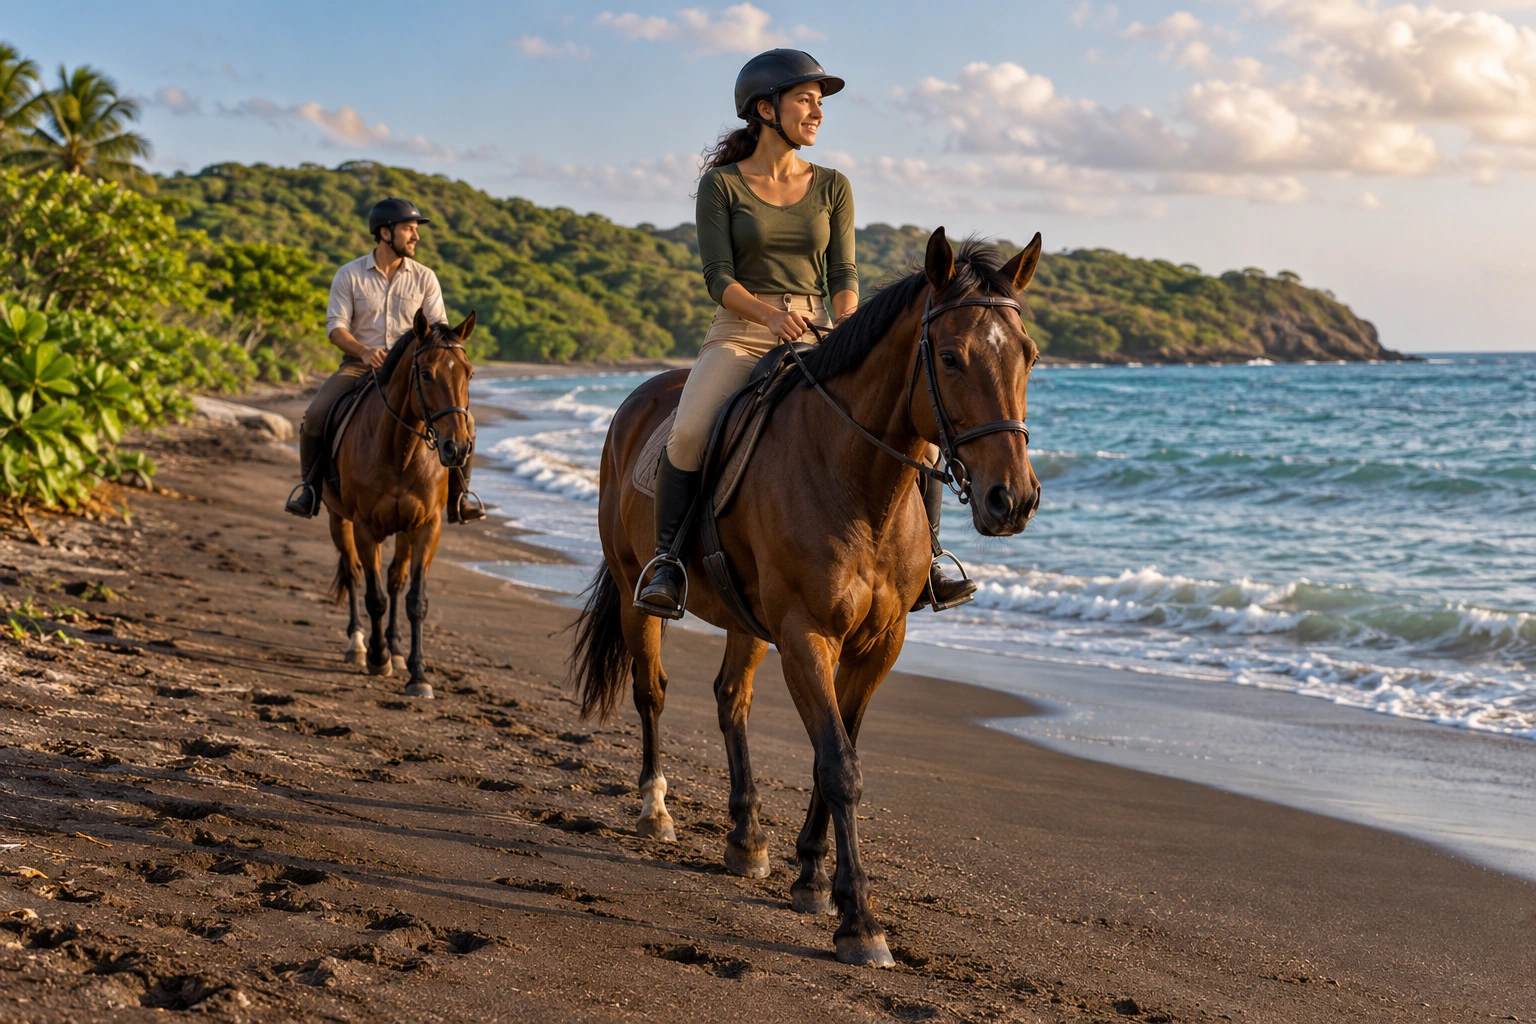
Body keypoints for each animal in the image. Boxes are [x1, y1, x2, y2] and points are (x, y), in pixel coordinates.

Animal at [325, 309, 476, 700]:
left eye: (469, 373)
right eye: (426, 374)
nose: (457, 449)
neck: (400, 450)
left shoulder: (426, 527)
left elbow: (414, 600)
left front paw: (417, 673)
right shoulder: (364, 527)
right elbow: (374, 596)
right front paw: (378, 659)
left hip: (404, 531)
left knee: (396, 579)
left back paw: (394, 647)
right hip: (338, 520)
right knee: (352, 573)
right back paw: (359, 645)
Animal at [571, 228, 1042, 966]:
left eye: (1028, 356)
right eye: (950, 356)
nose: (1012, 500)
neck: (855, 480)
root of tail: (639, 397)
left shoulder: (879, 644)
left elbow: (836, 749)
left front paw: (814, 877)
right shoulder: (805, 634)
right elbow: (839, 765)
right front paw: (860, 923)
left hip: (745, 619)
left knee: (731, 699)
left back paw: (746, 839)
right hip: (632, 591)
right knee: (652, 691)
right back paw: (655, 809)